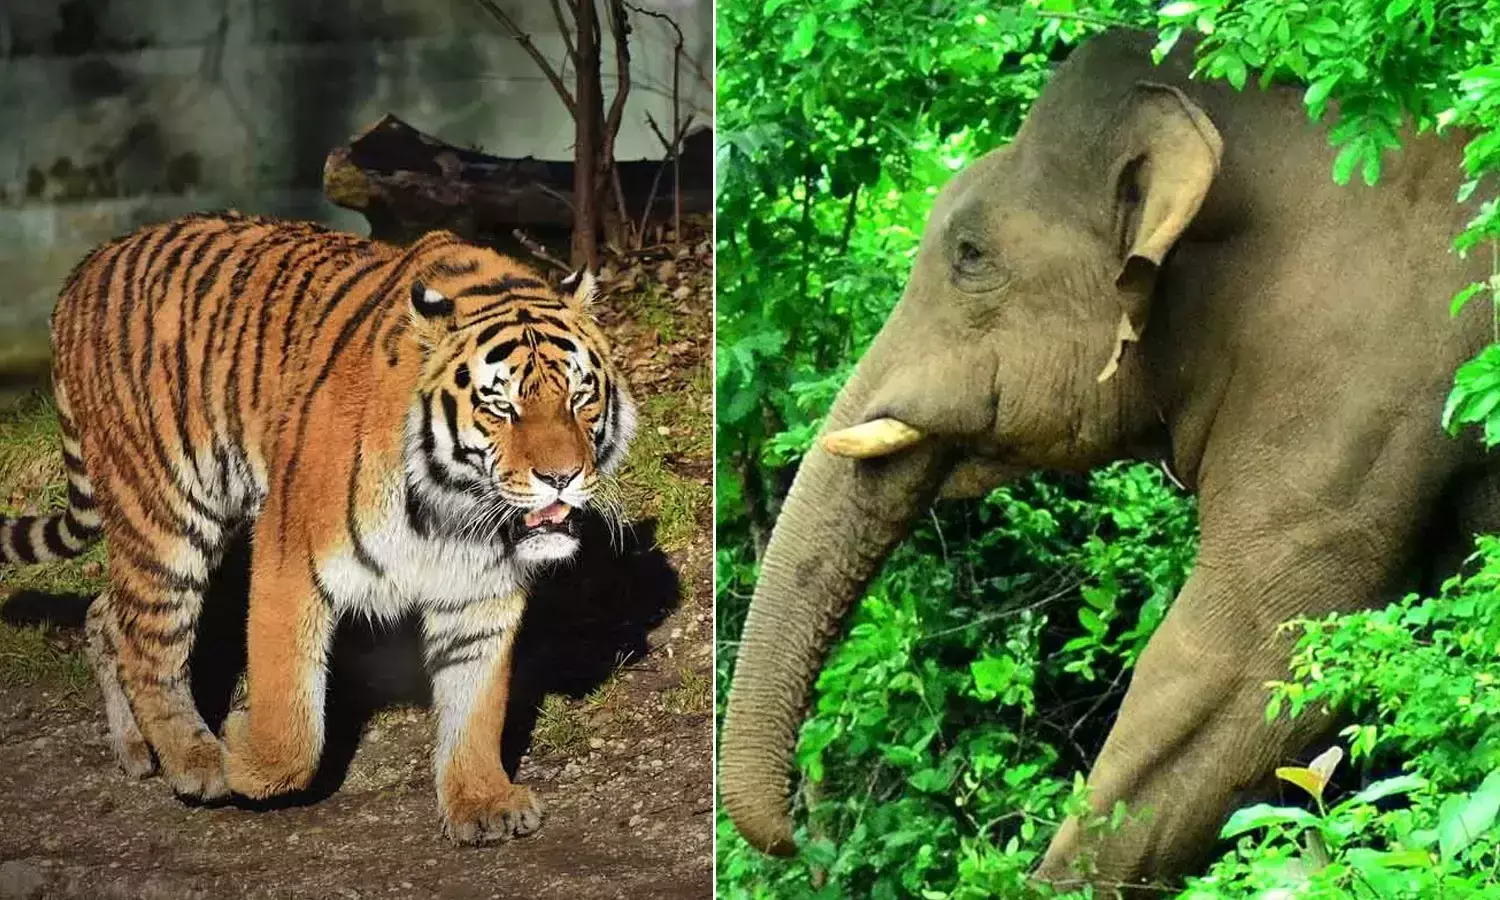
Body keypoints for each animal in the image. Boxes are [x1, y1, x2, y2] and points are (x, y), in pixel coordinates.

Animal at [0, 211, 636, 844]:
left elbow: (475, 702)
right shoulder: (289, 555)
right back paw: (194, 761)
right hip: (167, 513)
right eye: (501, 406)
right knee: (149, 644)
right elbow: (292, 724)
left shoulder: (480, 589)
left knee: (107, 614)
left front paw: (482, 800)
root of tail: (86, 267)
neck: (452, 505)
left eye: (580, 396)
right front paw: (241, 752)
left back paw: (137, 749)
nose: (561, 477)